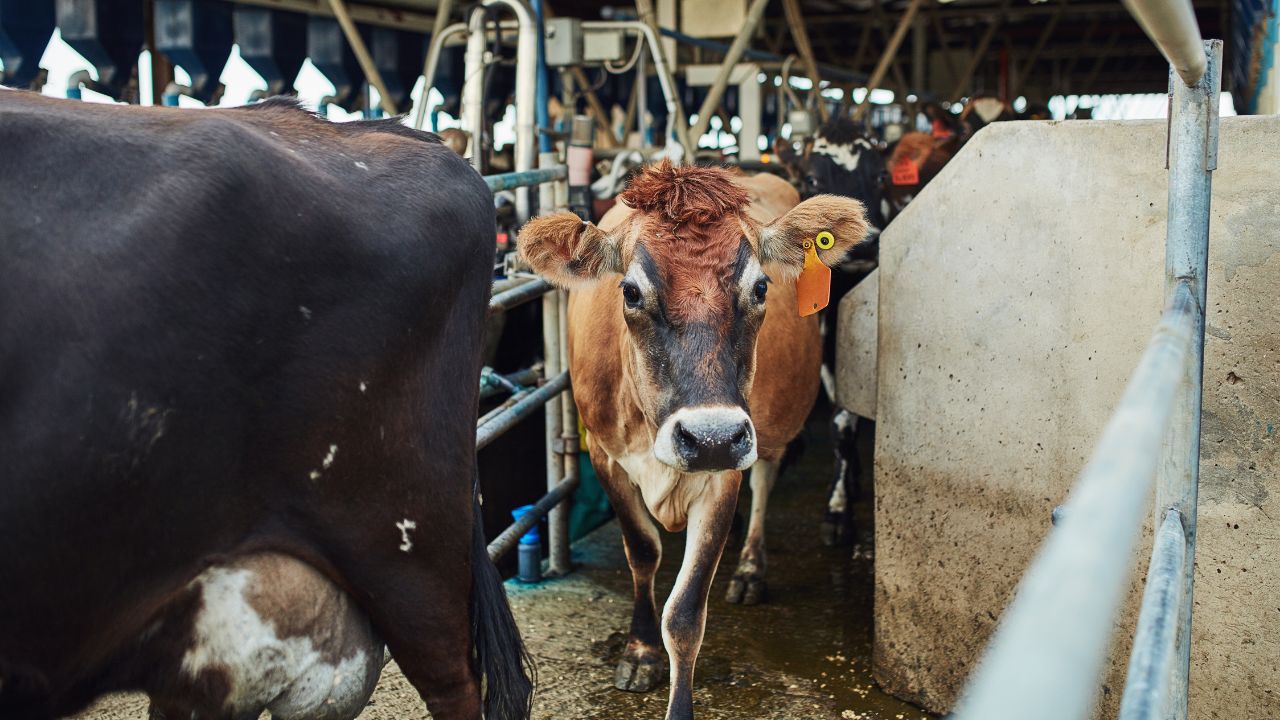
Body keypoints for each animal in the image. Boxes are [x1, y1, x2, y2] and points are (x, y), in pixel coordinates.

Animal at [518, 161, 868, 719]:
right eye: (630, 292)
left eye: (762, 288)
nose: (709, 438)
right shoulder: (605, 456)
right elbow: (642, 552)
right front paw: (639, 652)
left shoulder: (725, 468)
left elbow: (684, 615)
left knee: (770, 475)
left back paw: (750, 567)